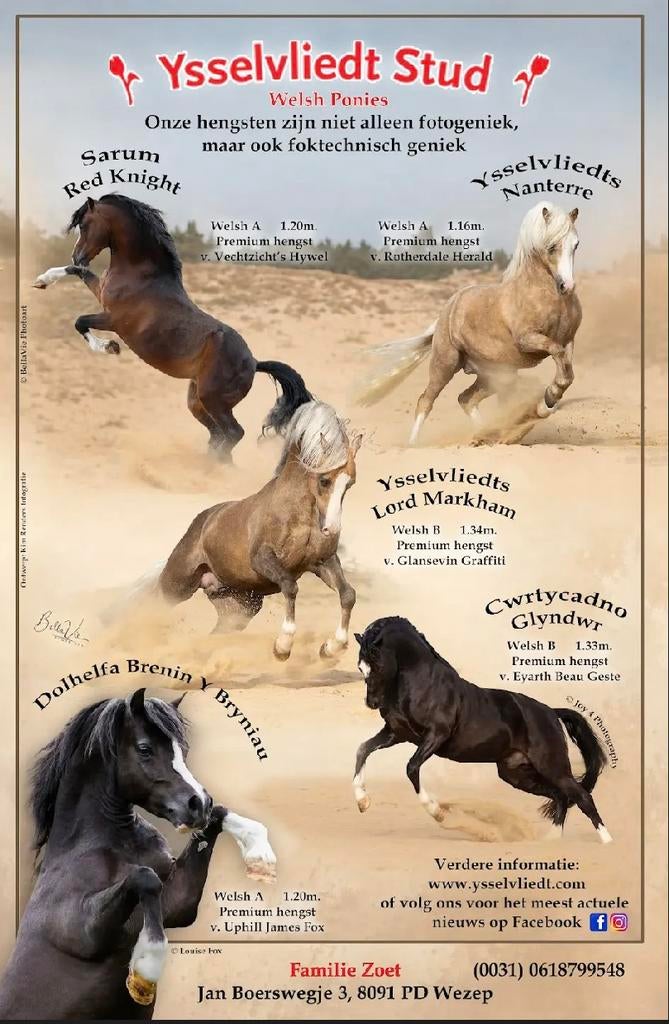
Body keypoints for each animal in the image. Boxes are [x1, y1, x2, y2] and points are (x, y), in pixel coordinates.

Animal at [0, 689, 276, 1020]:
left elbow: (218, 818)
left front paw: (260, 855)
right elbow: (145, 877)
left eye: (182, 749)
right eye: (145, 749)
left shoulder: (178, 902)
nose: (198, 804)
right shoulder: (84, 932)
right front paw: (145, 972)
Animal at [33, 194, 313, 460]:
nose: (77, 254)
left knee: (234, 433)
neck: (141, 275)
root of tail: (254, 363)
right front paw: (42, 281)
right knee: (218, 436)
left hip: (214, 401)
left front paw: (110, 347)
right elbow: (77, 272)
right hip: (197, 402)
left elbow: (80, 321)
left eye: (85, 224)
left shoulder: (114, 320)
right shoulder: (100, 293)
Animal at [133, 400, 362, 661]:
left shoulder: (322, 562)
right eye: (324, 480)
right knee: (153, 604)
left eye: (350, 483)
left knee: (217, 632)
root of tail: (202, 521)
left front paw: (330, 648)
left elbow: (348, 594)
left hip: (237, 607)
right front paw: (282, 647)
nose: (331, 529)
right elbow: (290, 587)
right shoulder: (263, 559)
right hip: (176, 585)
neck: (297, 514)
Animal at [352, 617, 611, 843]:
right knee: (560, 797)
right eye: (360, 667)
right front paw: (363, 802)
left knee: (581, 796)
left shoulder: (435, 735)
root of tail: (551, 711)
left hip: (552, 767)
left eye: (377, 662)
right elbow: (362, 750)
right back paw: (551, 841)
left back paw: (606, 842)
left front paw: (439, 813)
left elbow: (411, 767)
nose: (372, 703)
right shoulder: (397, 734)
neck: (424, 683)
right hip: (516, 774)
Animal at [358, 202, 582, 445]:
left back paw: (488, 434)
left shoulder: (568, 340)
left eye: (576, 244)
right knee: (426, 400)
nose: (567, 286)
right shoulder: (528, 340)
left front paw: (549, 399)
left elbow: (567, 372)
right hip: (445, 364)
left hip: (495, 375)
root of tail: (446, 311)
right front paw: (548, 399)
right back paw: (414, 444)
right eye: (551, 246)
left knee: (466, 399)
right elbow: (557, 354)